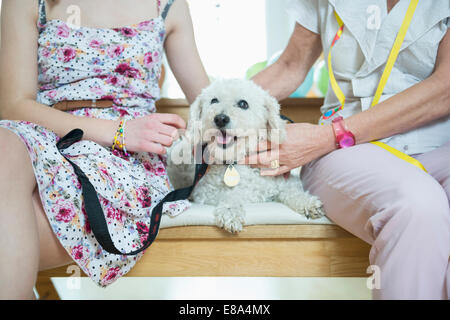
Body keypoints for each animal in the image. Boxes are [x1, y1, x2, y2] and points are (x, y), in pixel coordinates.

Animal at [166, 77, 324, 232]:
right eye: (214, 100)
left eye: (243, 104)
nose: (220, 118)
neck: (234, 161)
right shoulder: (203, 192)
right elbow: (231, 195)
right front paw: (230, 211)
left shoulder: (283, 181)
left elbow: (291, 191)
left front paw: (308, 203)